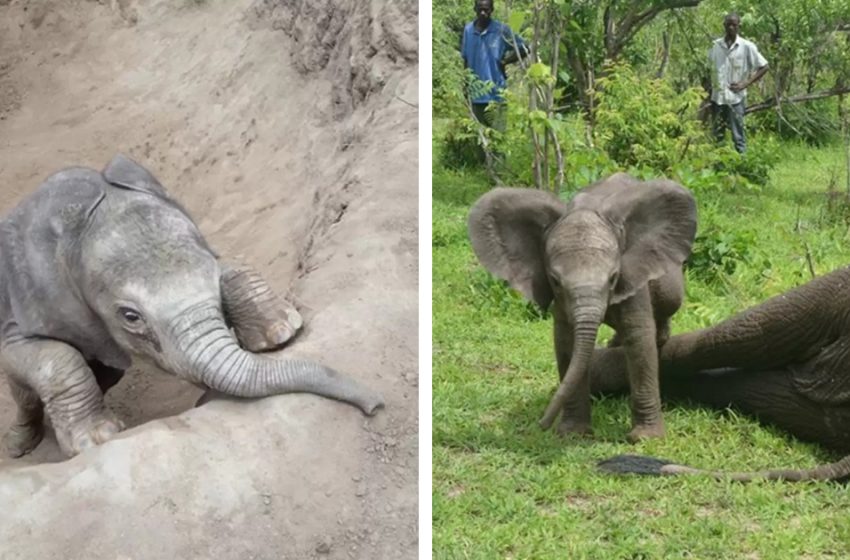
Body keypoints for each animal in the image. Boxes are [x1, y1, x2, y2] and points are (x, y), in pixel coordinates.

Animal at [0, 154, 380, 460]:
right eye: (130, 317)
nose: (376, 404)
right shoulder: (25, 301)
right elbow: (44, 355)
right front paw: (98, 439)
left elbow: (230, 265)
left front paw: (281, 332)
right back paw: (19, 446)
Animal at [470, 173, 696, 444]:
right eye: (555, 280)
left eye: (613, 277)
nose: (541, 425)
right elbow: (566, 342)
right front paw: (572, 434)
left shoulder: (632, 276)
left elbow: (639, 340)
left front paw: (645, 439)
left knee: (668, 303)